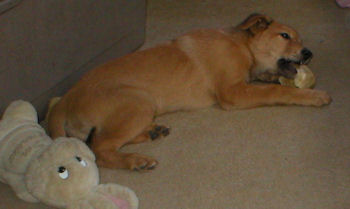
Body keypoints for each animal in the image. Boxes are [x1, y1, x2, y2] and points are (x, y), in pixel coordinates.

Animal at [47, 13, 332, 171]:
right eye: (285, 36)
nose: (309, 53)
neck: (242, 45)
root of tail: (65, 100)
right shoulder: (232, 93)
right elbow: (274, 92)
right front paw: (313, 96)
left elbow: (269, 80)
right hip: (138, 101)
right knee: (100, 149)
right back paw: (136, 161)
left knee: (102, 140)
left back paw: (152, 132)